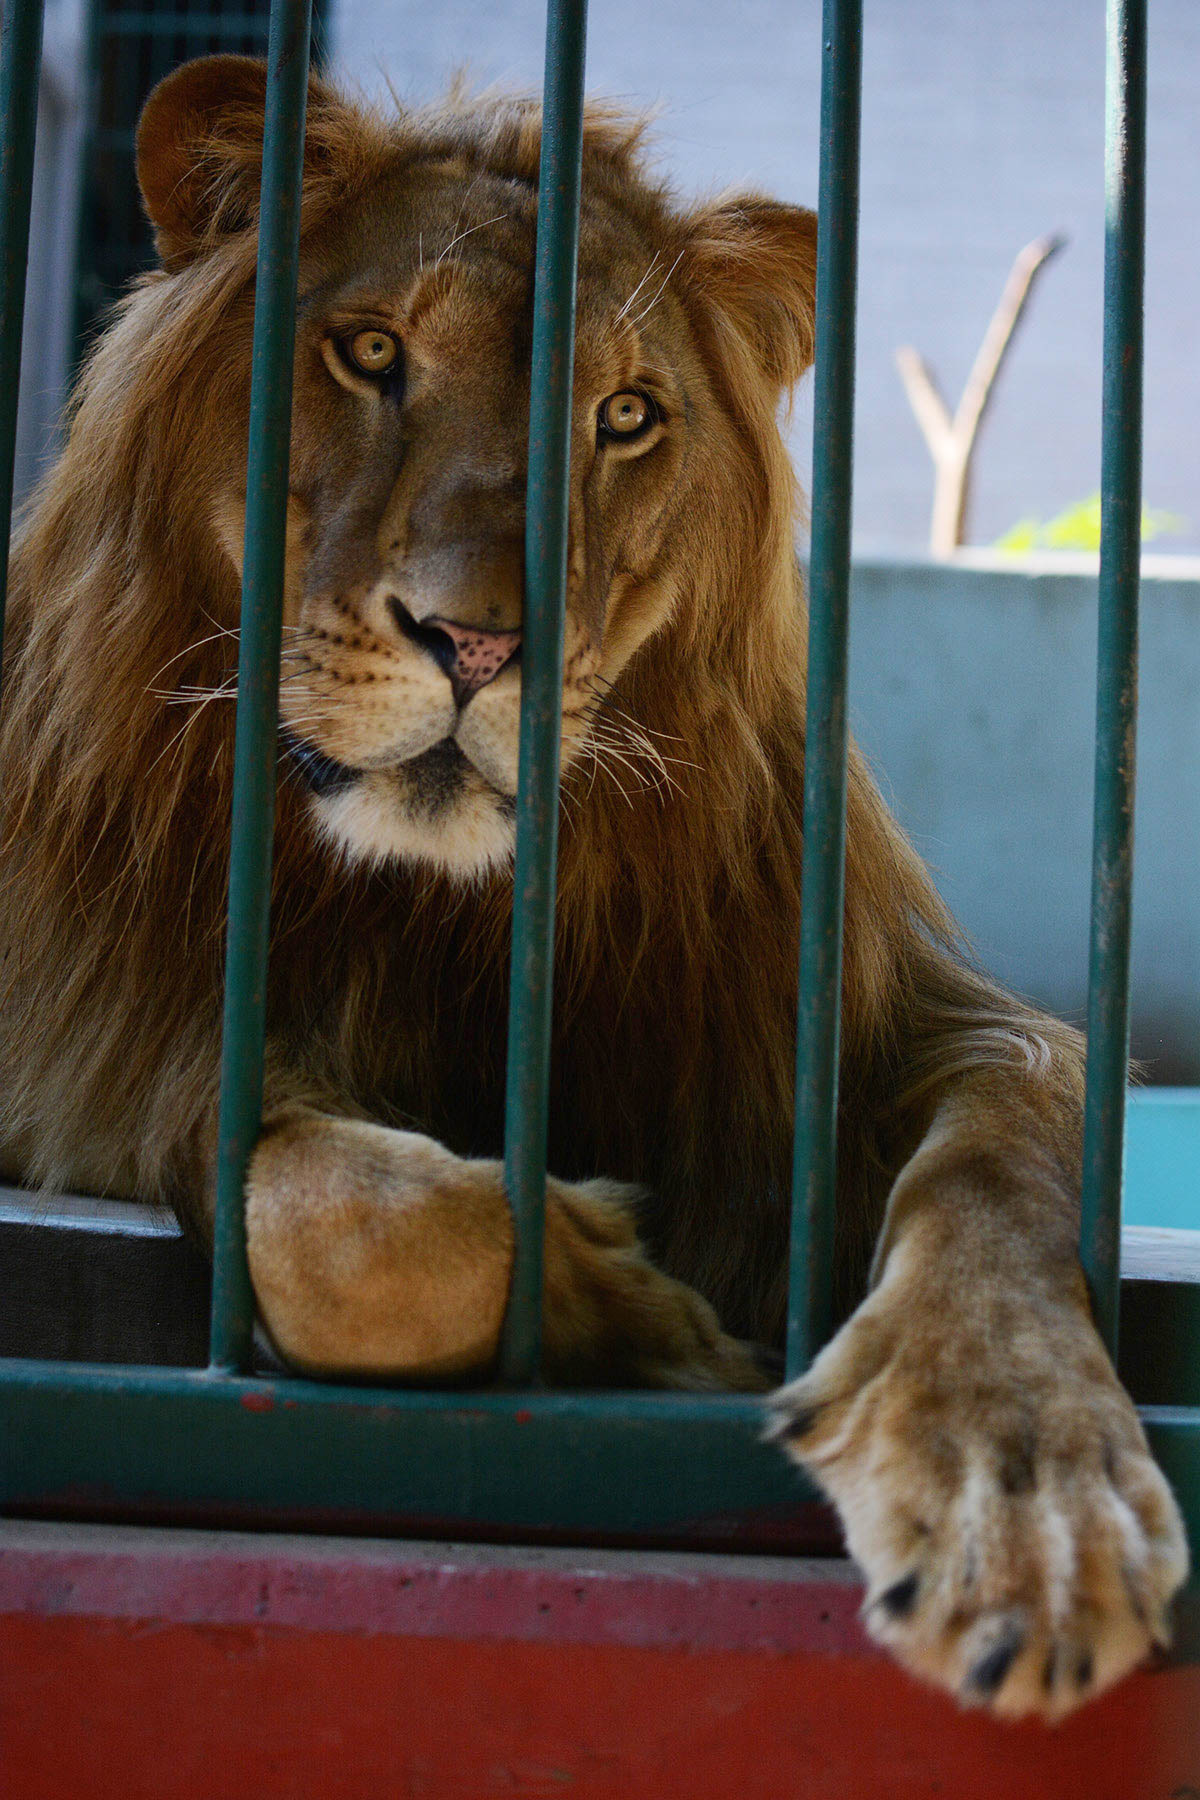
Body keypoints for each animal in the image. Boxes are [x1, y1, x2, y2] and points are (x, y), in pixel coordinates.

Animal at [0, 52, 1187, 1713]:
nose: (481, 646)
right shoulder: (112, 1052)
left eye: (626, 416)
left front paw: (1022, 1500)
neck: (442, 908)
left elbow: (997, 1180)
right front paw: (653, 1324)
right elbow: (328, 1206)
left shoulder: (886, 1030)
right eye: (371, 352)